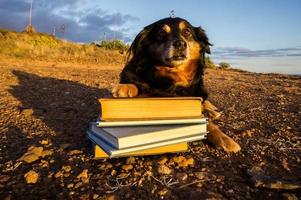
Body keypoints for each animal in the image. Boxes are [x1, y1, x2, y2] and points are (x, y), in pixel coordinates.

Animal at [111, 17, 240, 152]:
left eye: (187, 31)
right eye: (161, 33)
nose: (180, 44)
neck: (172, 75)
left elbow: (204, 120)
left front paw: (224, 138)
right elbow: (135, 82)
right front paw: (125, 87)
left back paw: (212, 112)